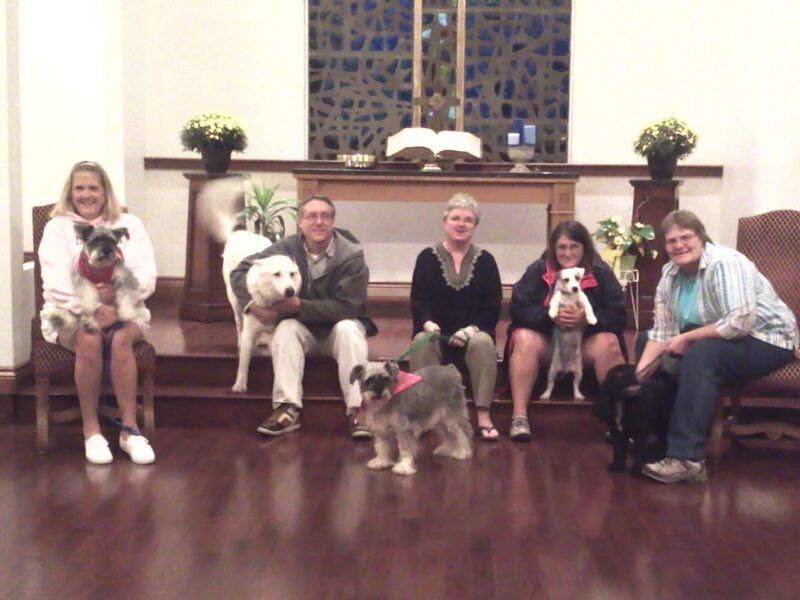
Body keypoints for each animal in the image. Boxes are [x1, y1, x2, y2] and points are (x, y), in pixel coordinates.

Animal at [540, 266, 596, 398]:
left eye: (577, 278)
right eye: (566, 279)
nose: (575, 288)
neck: (570, 296)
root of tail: (565, 369)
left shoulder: (584, 302)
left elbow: (589, 308)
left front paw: (592, 318)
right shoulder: (557, 299)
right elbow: (555, 302)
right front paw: (553, 312)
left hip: (579, 373)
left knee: (575, 385)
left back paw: (578, 395)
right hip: (551, 372)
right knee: (550, 385)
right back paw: (546, 395)